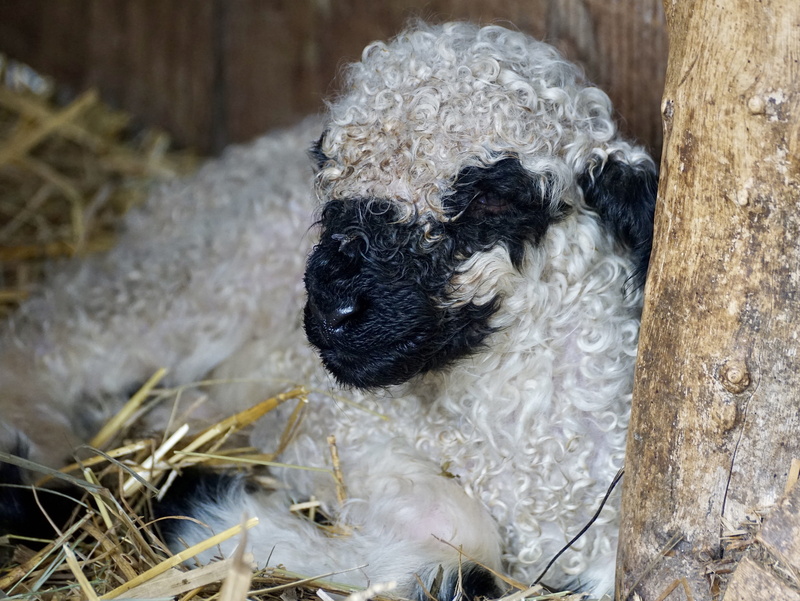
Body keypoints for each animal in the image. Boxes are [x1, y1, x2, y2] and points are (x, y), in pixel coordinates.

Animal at [0, 21, 657, 600]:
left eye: (493, 198)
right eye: (329, 170)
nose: (334, 306)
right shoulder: (334, 424)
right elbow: (452, 530)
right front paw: (205, 507)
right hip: (193, 274)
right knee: (47, 334)